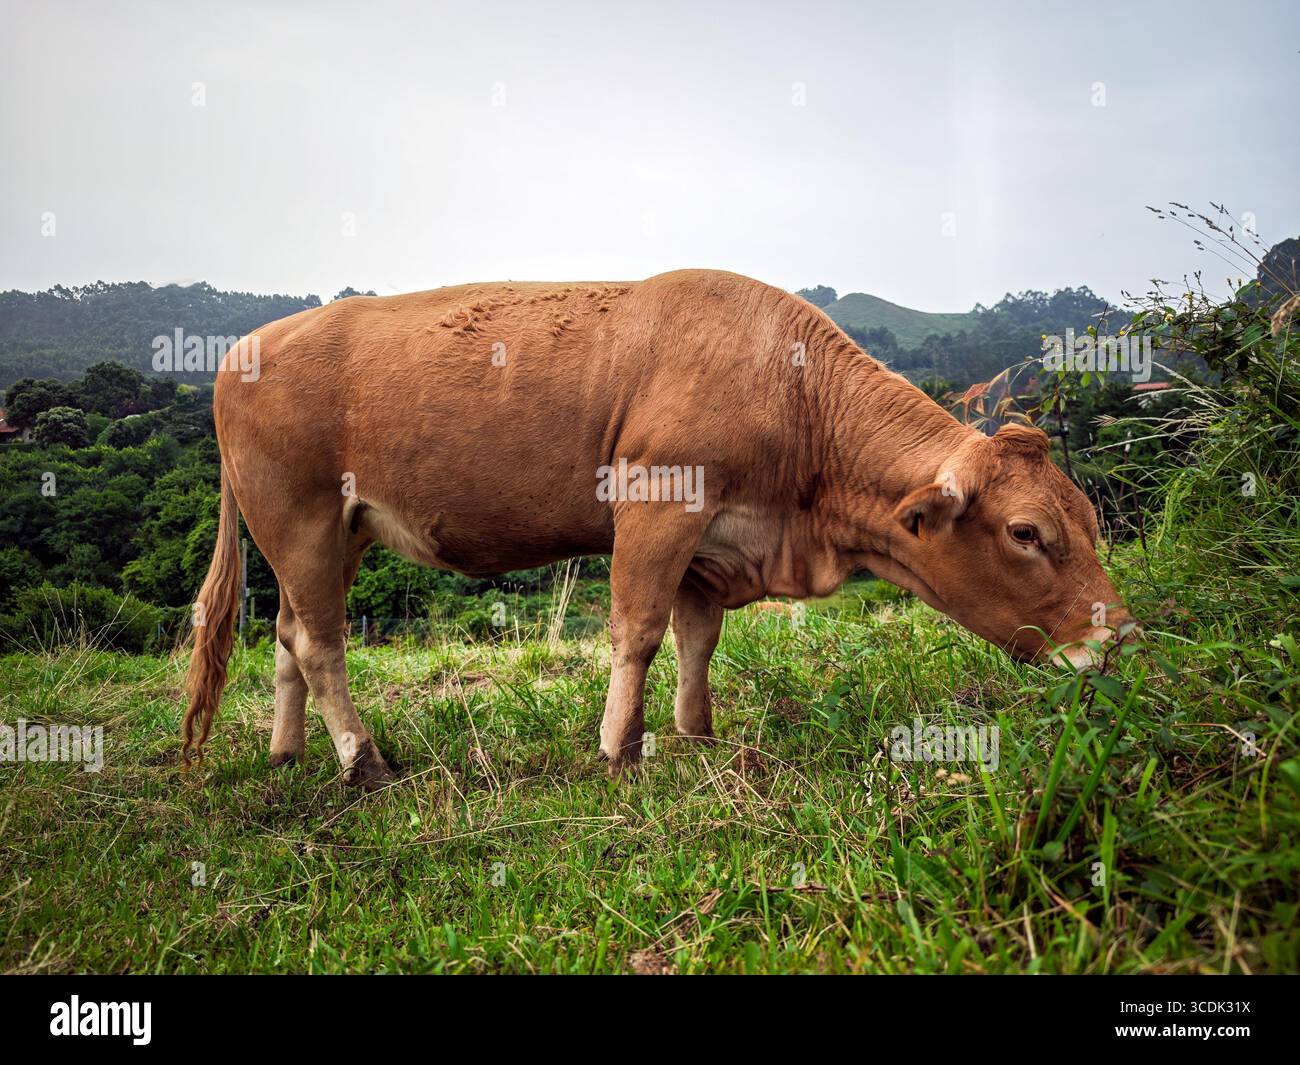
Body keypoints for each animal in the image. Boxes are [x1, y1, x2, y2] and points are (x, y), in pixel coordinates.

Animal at [182, 269, 1133, 787]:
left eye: (1087, 518)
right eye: (1026, 533)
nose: (1121, 634)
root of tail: (246, 348)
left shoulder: (711, 546)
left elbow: (697, 638)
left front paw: (696, 734)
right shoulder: (655, 504)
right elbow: (637, 630)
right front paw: (617, 750)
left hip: (335, 532)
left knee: (288, 630)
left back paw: (289, 754)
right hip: (300, 518)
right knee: (321, 642)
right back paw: (364, 760)